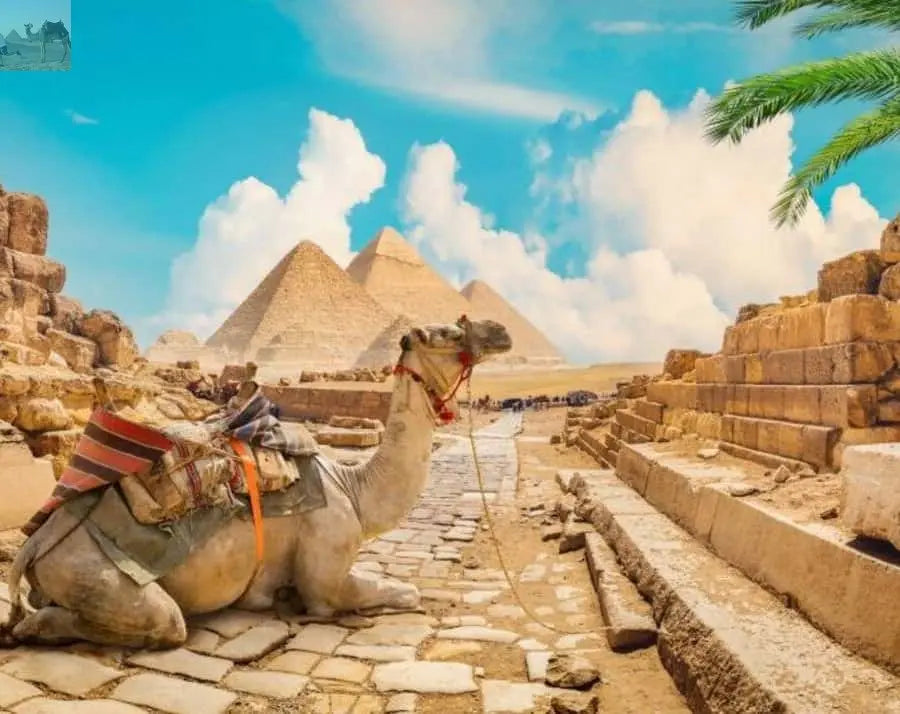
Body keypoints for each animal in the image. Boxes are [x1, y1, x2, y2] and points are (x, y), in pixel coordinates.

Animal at [1, 317, 512, 649]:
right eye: (448, 333)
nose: (501, 332)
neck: (355, 487)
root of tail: (34, 545)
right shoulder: (326, 573)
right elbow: (402, 592)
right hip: (93, 572)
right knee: (164, 623)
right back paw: (32, 629)